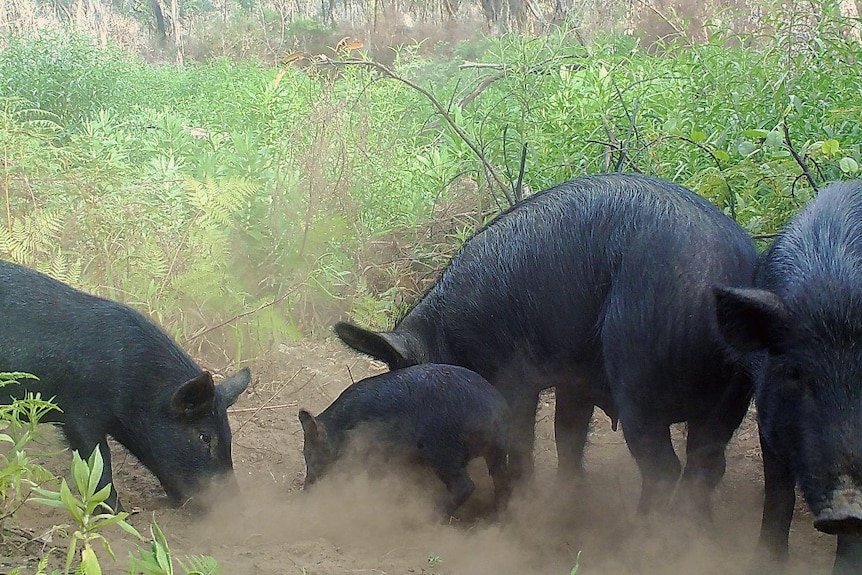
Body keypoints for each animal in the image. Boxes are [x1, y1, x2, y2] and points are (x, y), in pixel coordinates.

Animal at [0, 258, 250, 510]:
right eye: (204, 437)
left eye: (229, 434)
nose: (235, 504)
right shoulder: (79, 413)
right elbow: (98, 463)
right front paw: (118, 511)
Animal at [300, 366, 510, 520]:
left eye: (308, 453)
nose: (306, 490)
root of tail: (496, 414)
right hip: (495, 453)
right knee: (501, 481)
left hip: (444, 449)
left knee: (464, 485)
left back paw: (428, 518)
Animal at [338, 173, 764, 516]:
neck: (449, 338)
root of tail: (721, 279)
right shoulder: (575, 379)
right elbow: (567, 436)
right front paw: (565, 498)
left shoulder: (514, 376)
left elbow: (522, 439)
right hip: (730, 401)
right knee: (706, 467)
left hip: (639, 376)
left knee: (663, 469)